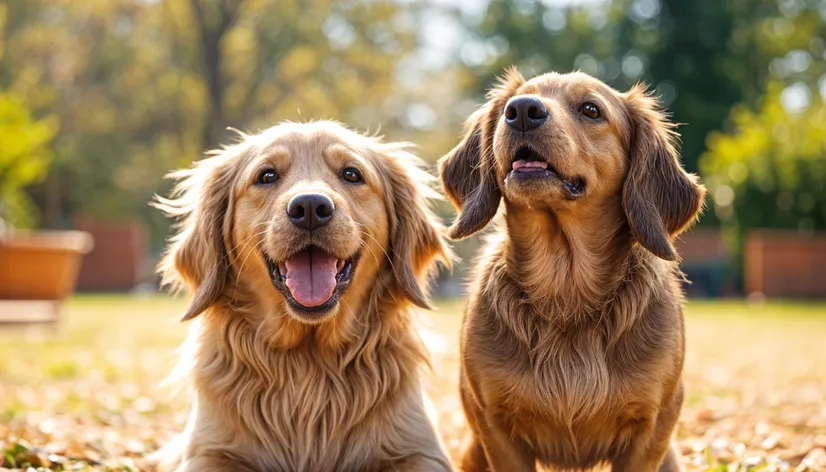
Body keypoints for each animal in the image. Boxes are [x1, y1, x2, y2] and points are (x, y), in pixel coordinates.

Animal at [150, 122, 454, 472]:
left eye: (352, 173)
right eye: (267, 175)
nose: (310, 207)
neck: (309, 363)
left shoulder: (421, 452)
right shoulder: (207, 452)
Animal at [438, 70, 700, 472]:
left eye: (591, 109)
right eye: (513, 104)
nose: (522, 111)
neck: (565, 289)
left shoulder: (652, 426)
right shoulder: (497, 428)